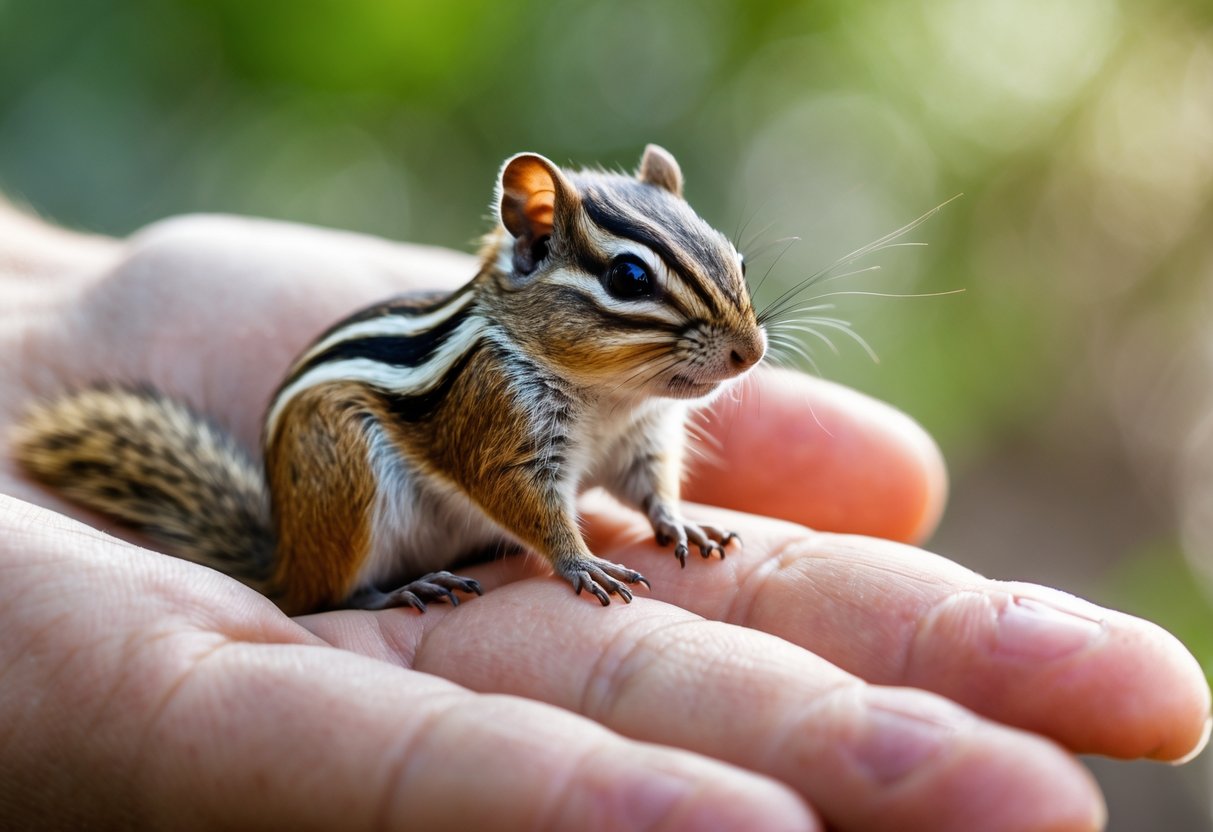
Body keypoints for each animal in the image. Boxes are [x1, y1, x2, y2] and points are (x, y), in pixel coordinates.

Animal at [11, 145, 767, 615]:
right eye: (629, 277)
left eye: (736, 259)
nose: (751, 352)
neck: (608, 397)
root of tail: (284, 558)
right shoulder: (498, 424)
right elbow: (528, 505)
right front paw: (581, 563)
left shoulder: (641, 436)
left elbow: (650, 487)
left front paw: (682, 523)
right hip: (344, 477)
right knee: (328, 596)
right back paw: (403, 591)